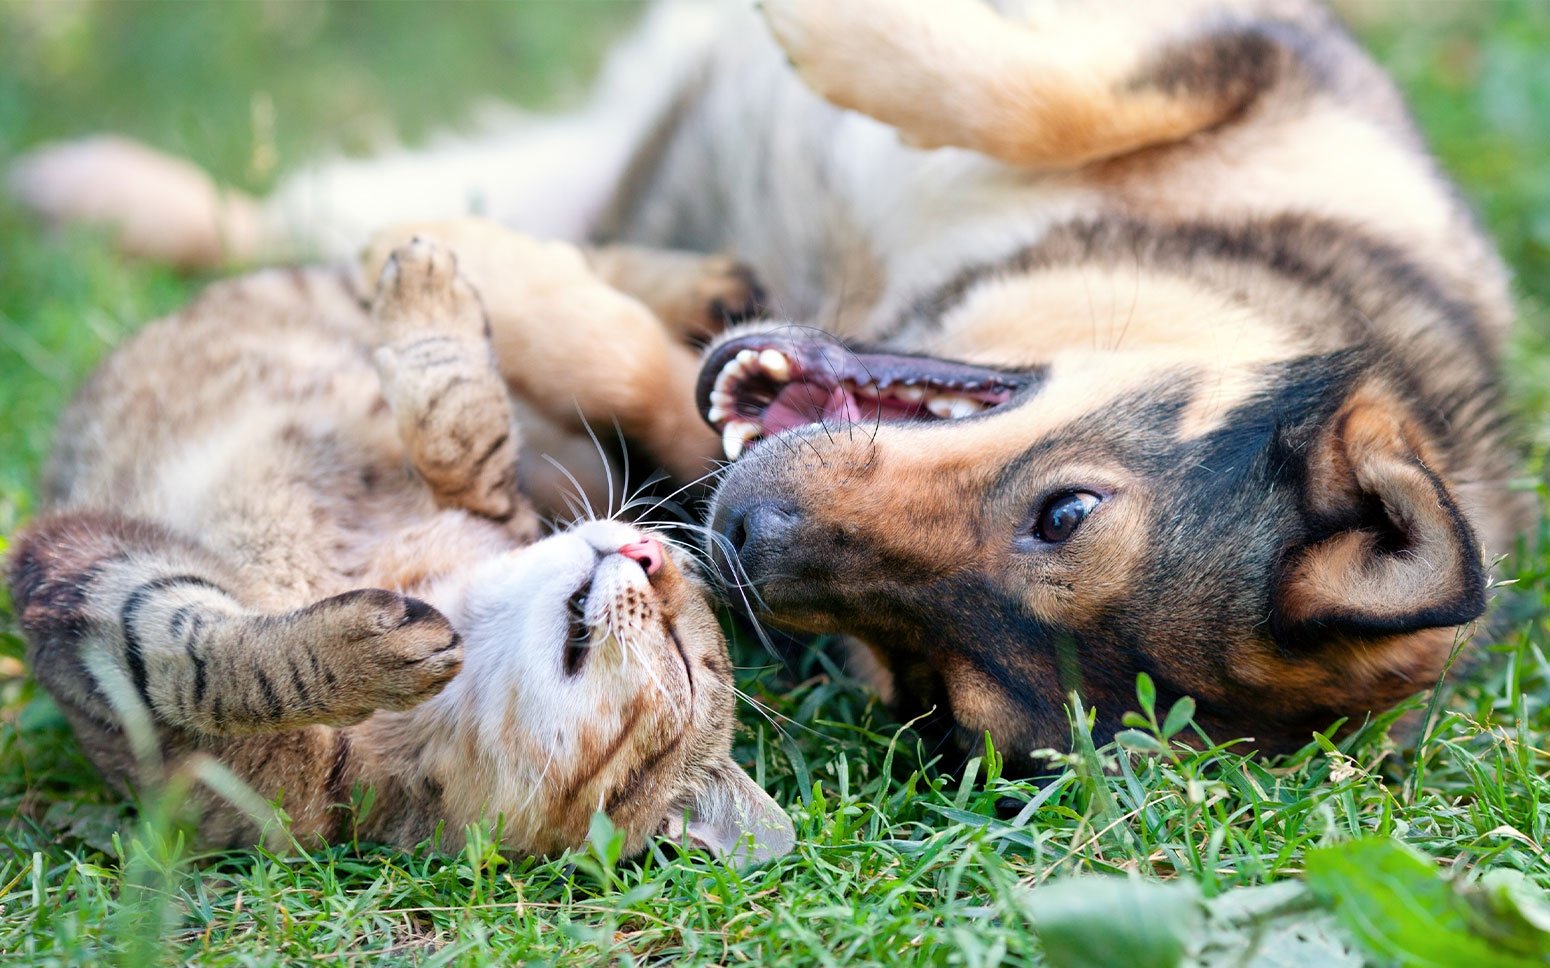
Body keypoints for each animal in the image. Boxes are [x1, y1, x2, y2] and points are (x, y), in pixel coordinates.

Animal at [10, 0, 1532, 772]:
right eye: (1065, 512)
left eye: (931, 685)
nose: (740, 539)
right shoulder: (1253, 56)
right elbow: (1046, 86)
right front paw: (831, 28)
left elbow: (632, 370)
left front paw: (502, 283)